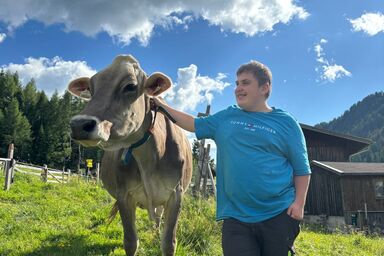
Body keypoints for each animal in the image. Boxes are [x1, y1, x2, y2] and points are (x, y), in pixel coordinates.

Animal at [68, 55, 194, 255]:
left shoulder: (176, 194)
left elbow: (169, 243)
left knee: (157, 219)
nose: (79, 124)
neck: (149, 160)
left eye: (130, 86)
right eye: (91, 88)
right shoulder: (124, 196)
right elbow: (131, 242)